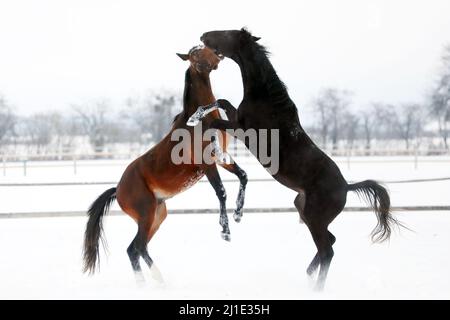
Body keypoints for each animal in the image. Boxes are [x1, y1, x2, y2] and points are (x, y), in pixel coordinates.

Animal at [82, 46, 248, 282]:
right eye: (195, 55)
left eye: (204, 49)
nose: (218, 57)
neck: (200, 122)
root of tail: (118, 189)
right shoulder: (207, 163)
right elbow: (221, 191)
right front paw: (225, 231)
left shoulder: (221, 157)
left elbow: (243, 175)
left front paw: (238, 214)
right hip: (146, 215)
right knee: (138, 247)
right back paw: (155, 281)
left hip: (158, 215)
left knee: (134, 249)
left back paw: (149, 283)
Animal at [192, 28, 402, 292]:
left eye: (227, 34)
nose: (203, 35)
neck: (265, 98)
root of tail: (346, 186)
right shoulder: (236, 117)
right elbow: (222, 102)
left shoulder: (242, 129)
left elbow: (216, 120)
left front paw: (195, 118)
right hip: (304, 211)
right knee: (330, 242)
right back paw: (309, 275)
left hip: (313, 217)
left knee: (327, 249)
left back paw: (317, 287)